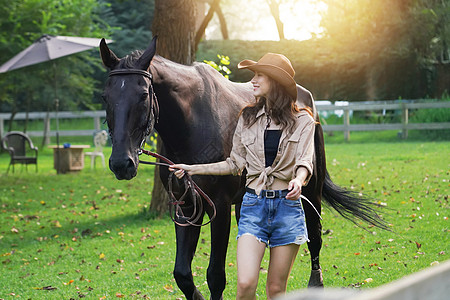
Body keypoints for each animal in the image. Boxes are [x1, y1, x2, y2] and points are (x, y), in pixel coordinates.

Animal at [99, 37, 386, 300]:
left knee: (314, 237)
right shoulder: (186, 205)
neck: (192, 125)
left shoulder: (219, 205)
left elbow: (215, 276)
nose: (121, 163)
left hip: (309, 192)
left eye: (143, 94)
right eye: (106, 96)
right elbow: (182, 274)